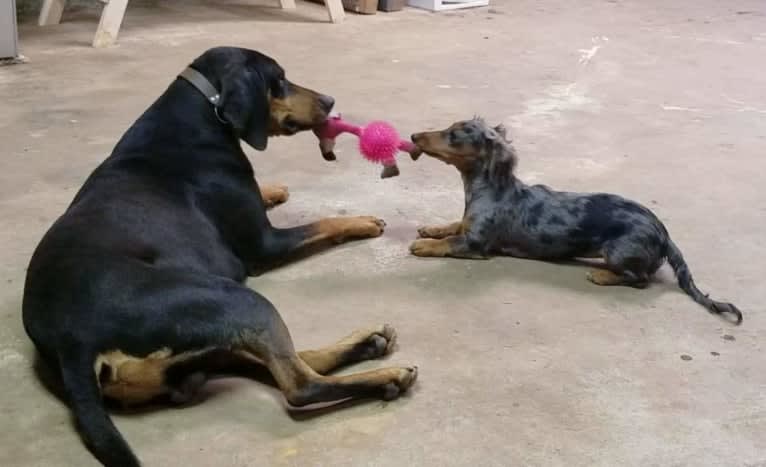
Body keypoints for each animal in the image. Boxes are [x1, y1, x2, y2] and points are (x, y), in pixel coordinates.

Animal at [24, 48, 416, 467]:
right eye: (279, 81)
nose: (329, 101)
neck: (201, 115)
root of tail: (71, 343)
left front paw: (274, 189)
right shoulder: (264, 244)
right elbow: (323, 223)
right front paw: (362, 221)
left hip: (194, 348)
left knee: (277, 359)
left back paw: (368, 343)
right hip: (234, 299)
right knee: (299, 383)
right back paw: (386, 375)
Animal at [414, 118, 744, 326]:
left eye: (455, 134)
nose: (415, 136)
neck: (491, 189)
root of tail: (664, 234)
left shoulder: (476, 243)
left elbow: (447, 242)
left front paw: (423, 244)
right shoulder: (468, 225)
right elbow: (453, 224)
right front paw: (431, 228)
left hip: (617, 251)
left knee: (640, 279)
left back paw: (602, 276)